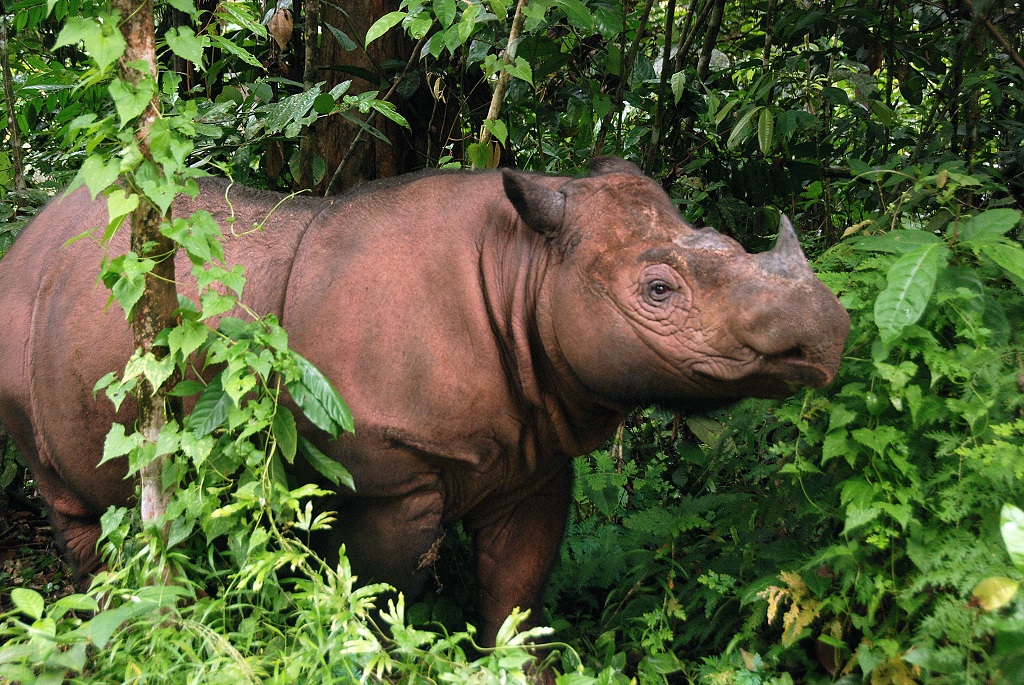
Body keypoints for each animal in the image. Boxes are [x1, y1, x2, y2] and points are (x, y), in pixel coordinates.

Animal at [0, 157, 849, 645]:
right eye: (659, 290)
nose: (828, 333)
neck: (525, 267)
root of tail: (28, 238)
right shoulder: (386, 474)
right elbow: (380, 597)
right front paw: (378, 657)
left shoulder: (534, 457)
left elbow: (516, 594)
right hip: (21, 321)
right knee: (73, 504)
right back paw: (107, 623)